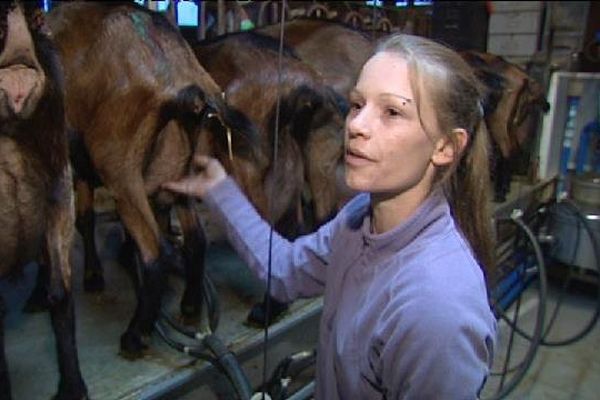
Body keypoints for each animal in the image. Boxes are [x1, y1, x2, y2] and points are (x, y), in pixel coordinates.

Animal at [47, 1, 260, 358]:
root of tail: (183, 82)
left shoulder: (76, 164)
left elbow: (85, 218)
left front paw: (91, 276)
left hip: (120, 169)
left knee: (156, 254)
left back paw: (136, 335)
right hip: (187, 173)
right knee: (196, 239)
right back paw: (190, 306)